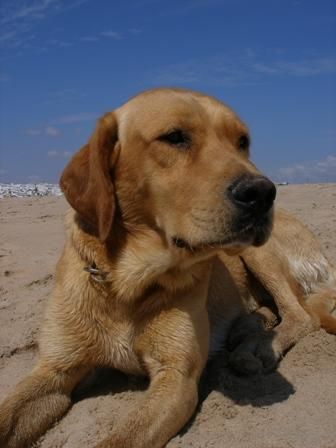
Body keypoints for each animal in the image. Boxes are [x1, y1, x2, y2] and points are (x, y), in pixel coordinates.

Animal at [0, 88, 336, 448]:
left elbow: (119, 440)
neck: (127, 284)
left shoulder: (176, 379)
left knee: (301, 313)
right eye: (175, 137)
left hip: (260, 252)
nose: (262, 192)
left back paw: (257, 347)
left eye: (242, 142)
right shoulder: (54, 371)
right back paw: (249, 327)